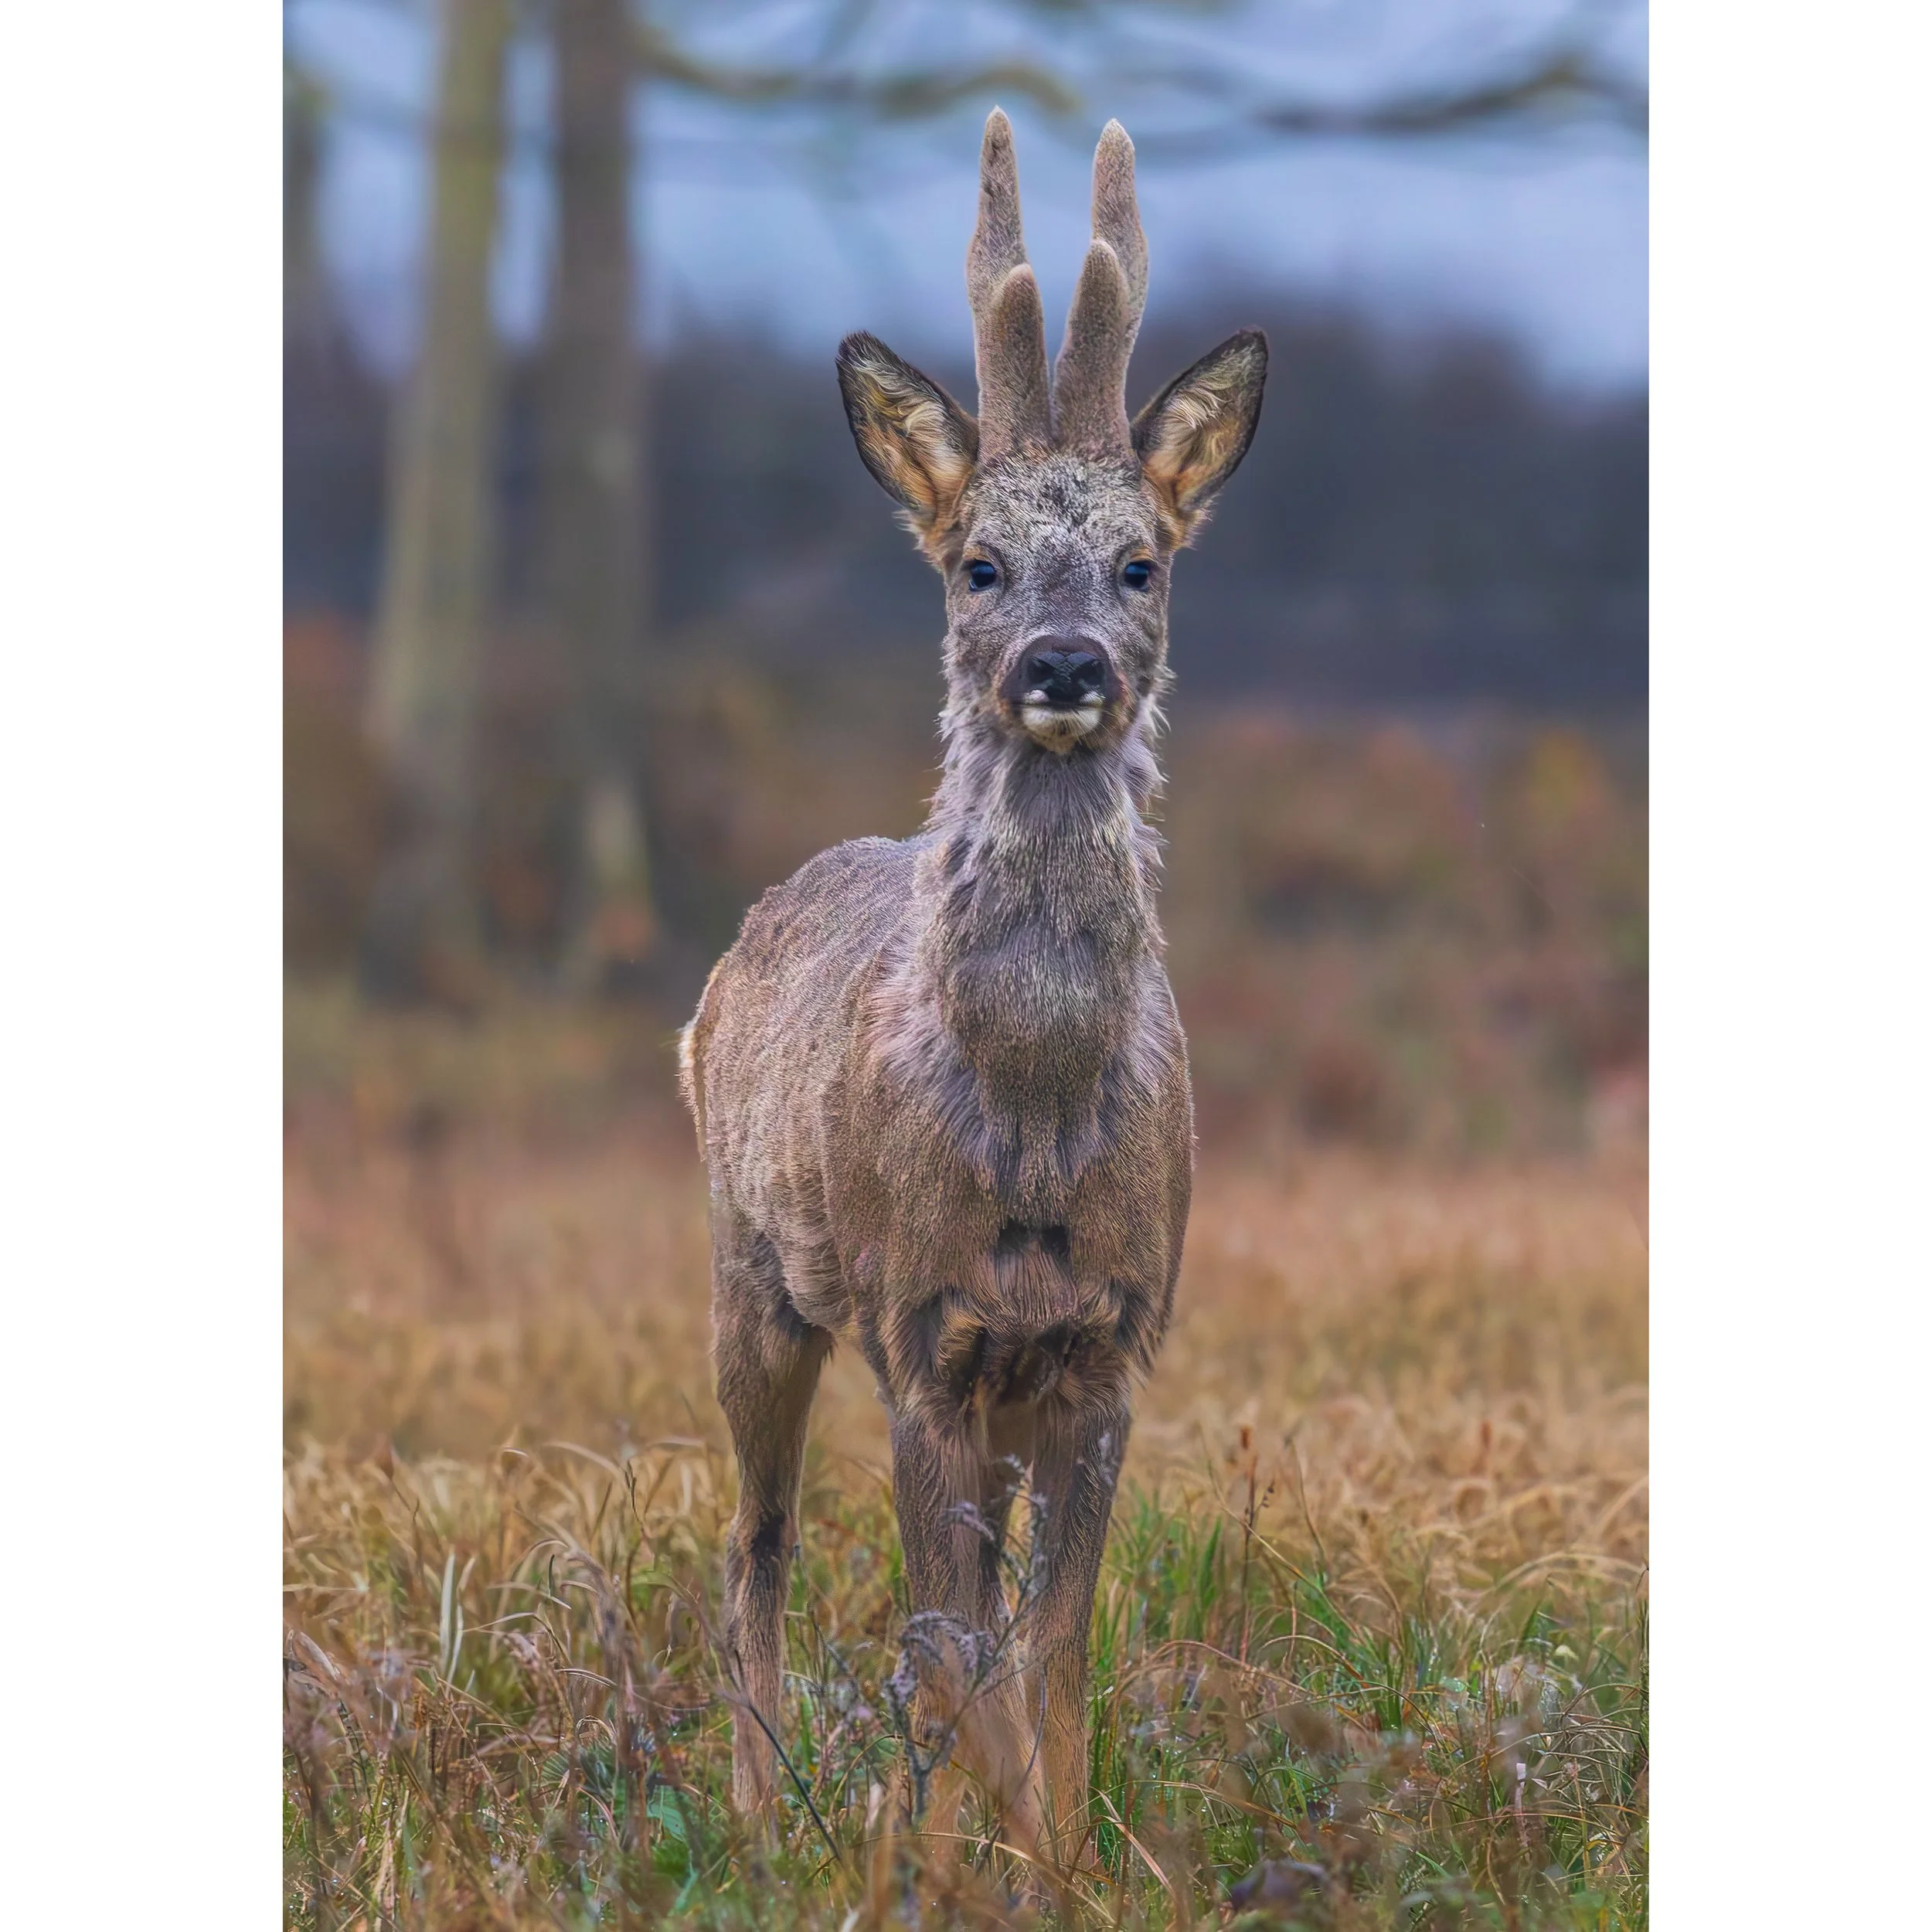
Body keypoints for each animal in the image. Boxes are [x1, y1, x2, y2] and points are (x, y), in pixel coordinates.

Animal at [679, 108, 1266, 1869]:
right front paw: (946, 1860)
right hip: (751, 1274)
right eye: (981, 563)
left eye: (1141, 562)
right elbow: (955, 1654)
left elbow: (1048, 1658)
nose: (1061, 665)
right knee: (755, 1545)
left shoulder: (1109, 1342)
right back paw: (758, 1819)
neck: (1034, 1135)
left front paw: (1054, 1862)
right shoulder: (917, 1327)